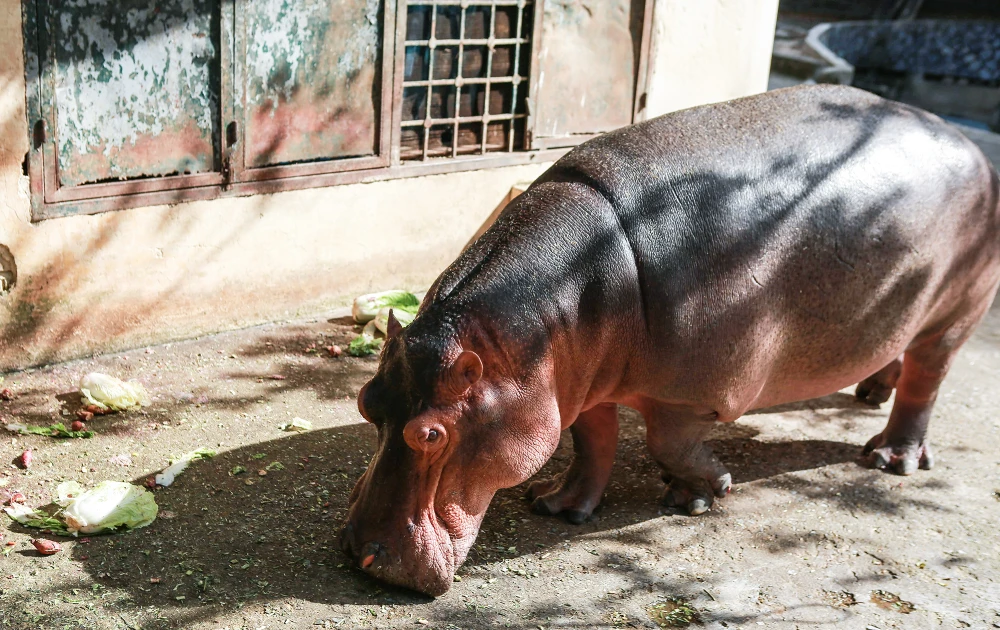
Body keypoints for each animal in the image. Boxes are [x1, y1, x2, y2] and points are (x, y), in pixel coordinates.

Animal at [338, 85, 1000, 596]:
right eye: (366, 402)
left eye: (431, 434)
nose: (358, 554)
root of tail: (966, 141)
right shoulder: (580, 386)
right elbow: (593, 443)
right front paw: (558, 506)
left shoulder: (689, 396)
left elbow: (666, 444)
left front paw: (702, 495)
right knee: (895, 356)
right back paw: (868, 393)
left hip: (954, 314)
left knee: (926, 381)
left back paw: (888, 459)